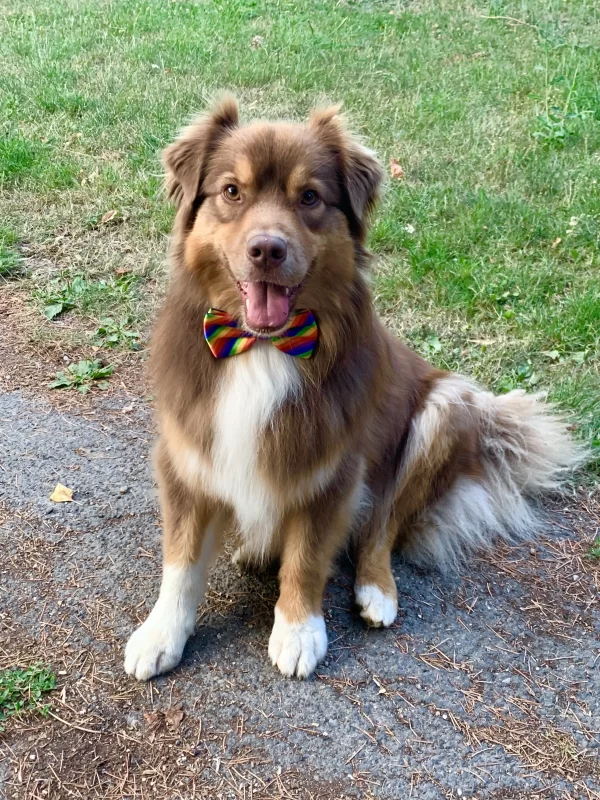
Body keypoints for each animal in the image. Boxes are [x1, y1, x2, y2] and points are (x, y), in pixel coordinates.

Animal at [125, 97, 580, 680]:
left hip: (445, 409)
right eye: (231, 192)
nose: (267, 249)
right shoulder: (187, 461)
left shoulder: (333, 471)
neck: (263, 349)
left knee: (381, 526)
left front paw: (298, 631)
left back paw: (376, 590)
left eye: (310, 197)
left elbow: (307, 558)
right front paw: (162, 633)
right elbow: (180, 563)